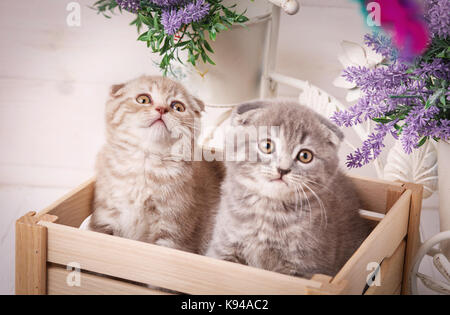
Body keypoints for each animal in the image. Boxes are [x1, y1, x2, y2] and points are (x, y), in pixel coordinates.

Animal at [91, 76, 223, 254]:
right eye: (143, 99)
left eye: (178, 107)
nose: (161, 109)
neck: (145, 163)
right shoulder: (104, 218)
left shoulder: (173, 232)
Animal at [206, 100, 370, 278]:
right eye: (267, 146)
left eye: (305, 156)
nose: (283, 169)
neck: (268, 211)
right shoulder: (223, 247)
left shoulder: (304, 267)